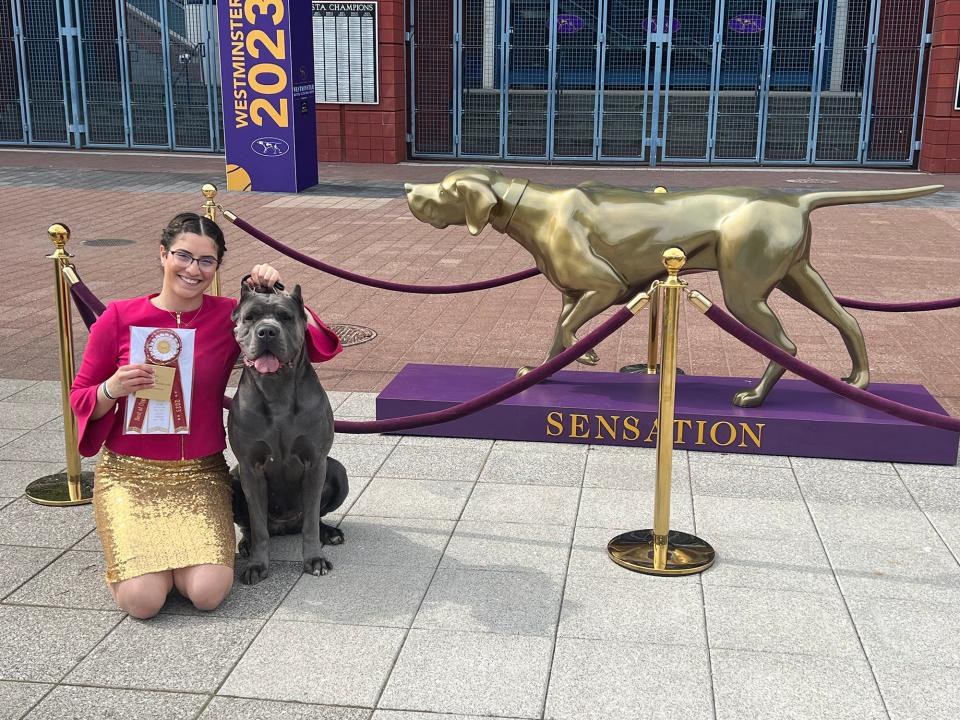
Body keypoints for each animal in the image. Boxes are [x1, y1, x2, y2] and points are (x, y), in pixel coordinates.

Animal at [227, 282, 346, 584]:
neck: (276, 389)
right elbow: (257, 524)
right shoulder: (250, 467)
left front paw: (315, 559)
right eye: (250, 317)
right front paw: (257, 564)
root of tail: (285, 527)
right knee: (251, 525)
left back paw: (329, 532)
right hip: (232, 478)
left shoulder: (316, 463)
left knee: (311, 519)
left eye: (285, 317)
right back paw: (246, 544)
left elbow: (311, 521)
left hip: (337, 470)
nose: (267, 331)